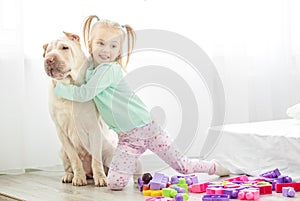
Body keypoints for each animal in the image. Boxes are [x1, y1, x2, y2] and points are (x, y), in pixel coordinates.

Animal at [43, 31, 141, 187]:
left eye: (64, 48)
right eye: (48, 51)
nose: (49, 59)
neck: (69, 84)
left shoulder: (94, 129)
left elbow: (96, 160)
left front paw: (100, 178)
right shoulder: (61, 131)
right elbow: (74, 158)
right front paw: (78, 177)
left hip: (109, 150)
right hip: (61, 150)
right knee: (69, 165)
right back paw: (70, 176)